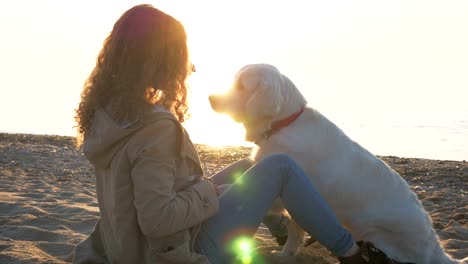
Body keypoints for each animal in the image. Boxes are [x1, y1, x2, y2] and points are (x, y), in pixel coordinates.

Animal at [209, 64, 464, 264]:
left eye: (241, 86)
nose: (211, 99)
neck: (284, 124)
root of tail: (436, 250)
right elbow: (295, 232)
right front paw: (286, 254)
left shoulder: (286, 190)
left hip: (371, 231)